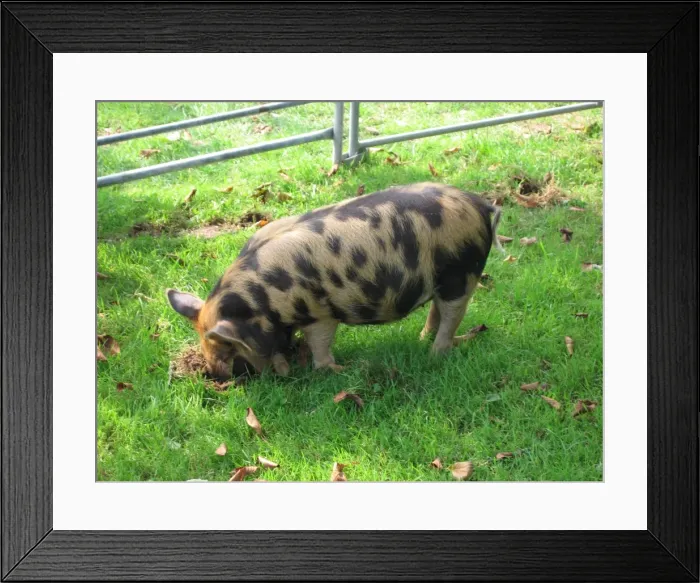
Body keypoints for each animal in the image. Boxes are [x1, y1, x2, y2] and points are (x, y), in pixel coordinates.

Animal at [166, 182, 504, 381]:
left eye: (227, 349)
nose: (215, 376)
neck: (262, 300)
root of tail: (480, 205)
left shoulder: (320, 314)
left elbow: (320, 346)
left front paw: (339, 369)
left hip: (462, 271)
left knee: (452, 313)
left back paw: (436, 354)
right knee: (437, 310)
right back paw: (424, 341)